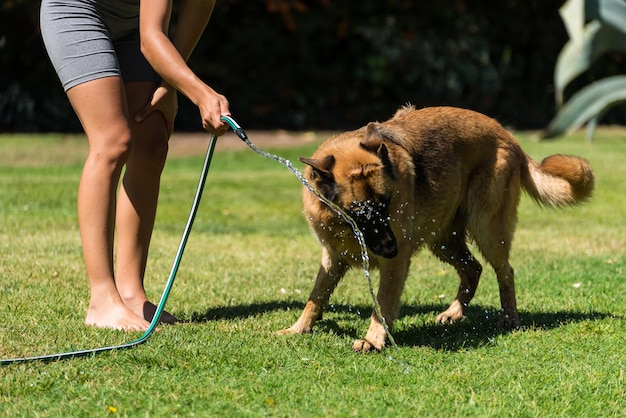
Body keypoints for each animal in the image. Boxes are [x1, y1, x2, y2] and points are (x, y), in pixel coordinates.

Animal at [280, 105, 592, 352]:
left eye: (387, 203)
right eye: (359, 212)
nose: (391, 248)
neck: (344, 226)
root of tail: (509, 138)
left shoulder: (395, 265)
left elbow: (382, 304)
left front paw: (373, 341)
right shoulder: (332, 258)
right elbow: (315, 297)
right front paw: (298, 329)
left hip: (486, 229)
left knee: (505, 272)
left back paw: (509, 319)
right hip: (442, 240)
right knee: (473, 269)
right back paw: (454, 312)